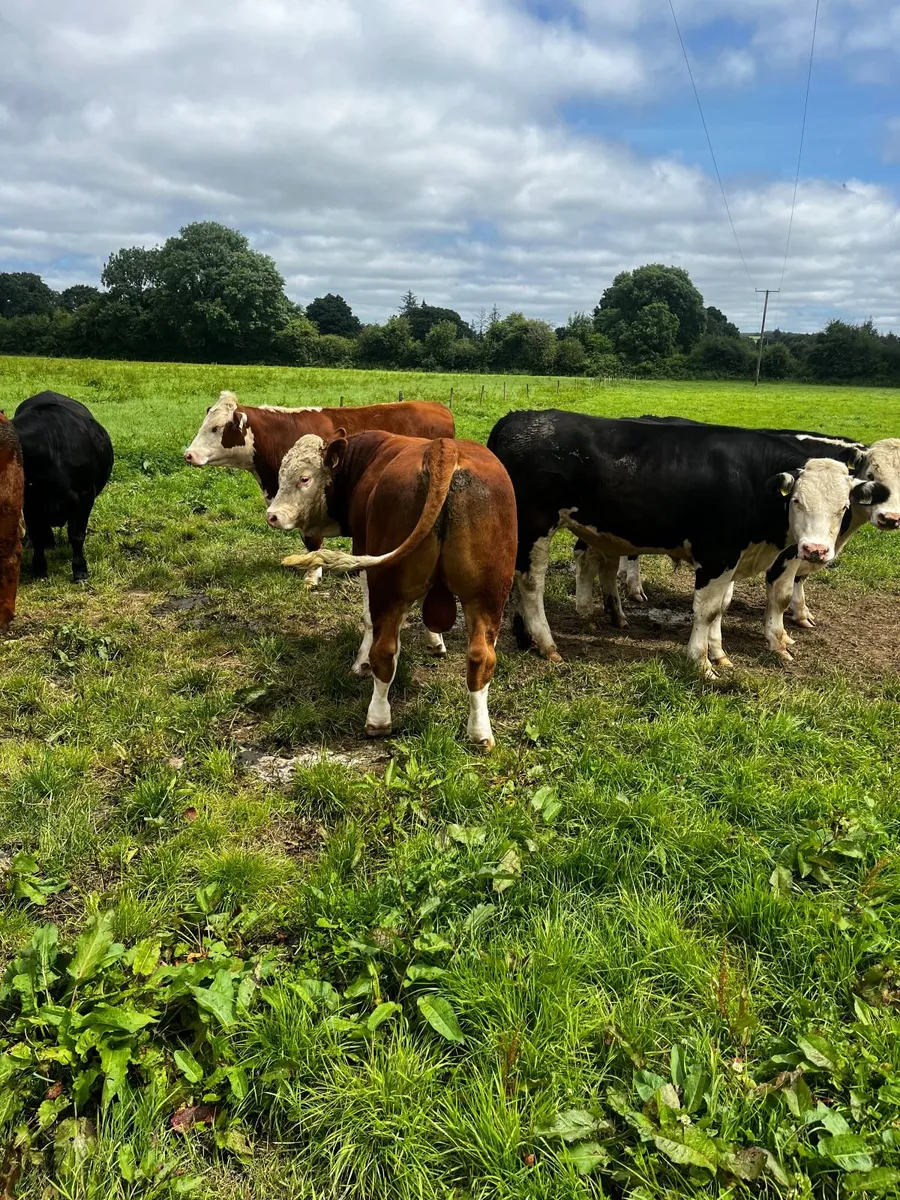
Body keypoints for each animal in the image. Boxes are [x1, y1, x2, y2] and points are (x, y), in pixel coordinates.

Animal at [13, 392, 114, 583]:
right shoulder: (30, 502)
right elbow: (37, 535)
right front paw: (39, 570)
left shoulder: (84, 497)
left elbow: (76, 535)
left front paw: (80, 571)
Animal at [265, 430, 517, 750]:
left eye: (304, 478)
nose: (272, 516)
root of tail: (443, 448)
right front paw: (434, 641)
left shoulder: (362, 550)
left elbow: (368, 620)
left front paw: (361, 663)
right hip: (489, 594)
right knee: (481, 657)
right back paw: (480, 732)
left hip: (387, 585)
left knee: (384, 651)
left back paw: (378, 719)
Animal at [487, 409, 887, 677]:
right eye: (798, 501)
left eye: (843, 507)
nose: (815, 551)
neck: (753, 479)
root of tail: (519, 418)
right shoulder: (717, 554)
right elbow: (707, 610)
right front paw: (702, 663)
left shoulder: (733, 559)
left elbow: (721, 607)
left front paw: (719, 653)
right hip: (535, 526)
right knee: (531, 582)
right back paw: (546, 643)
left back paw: (526, 637)